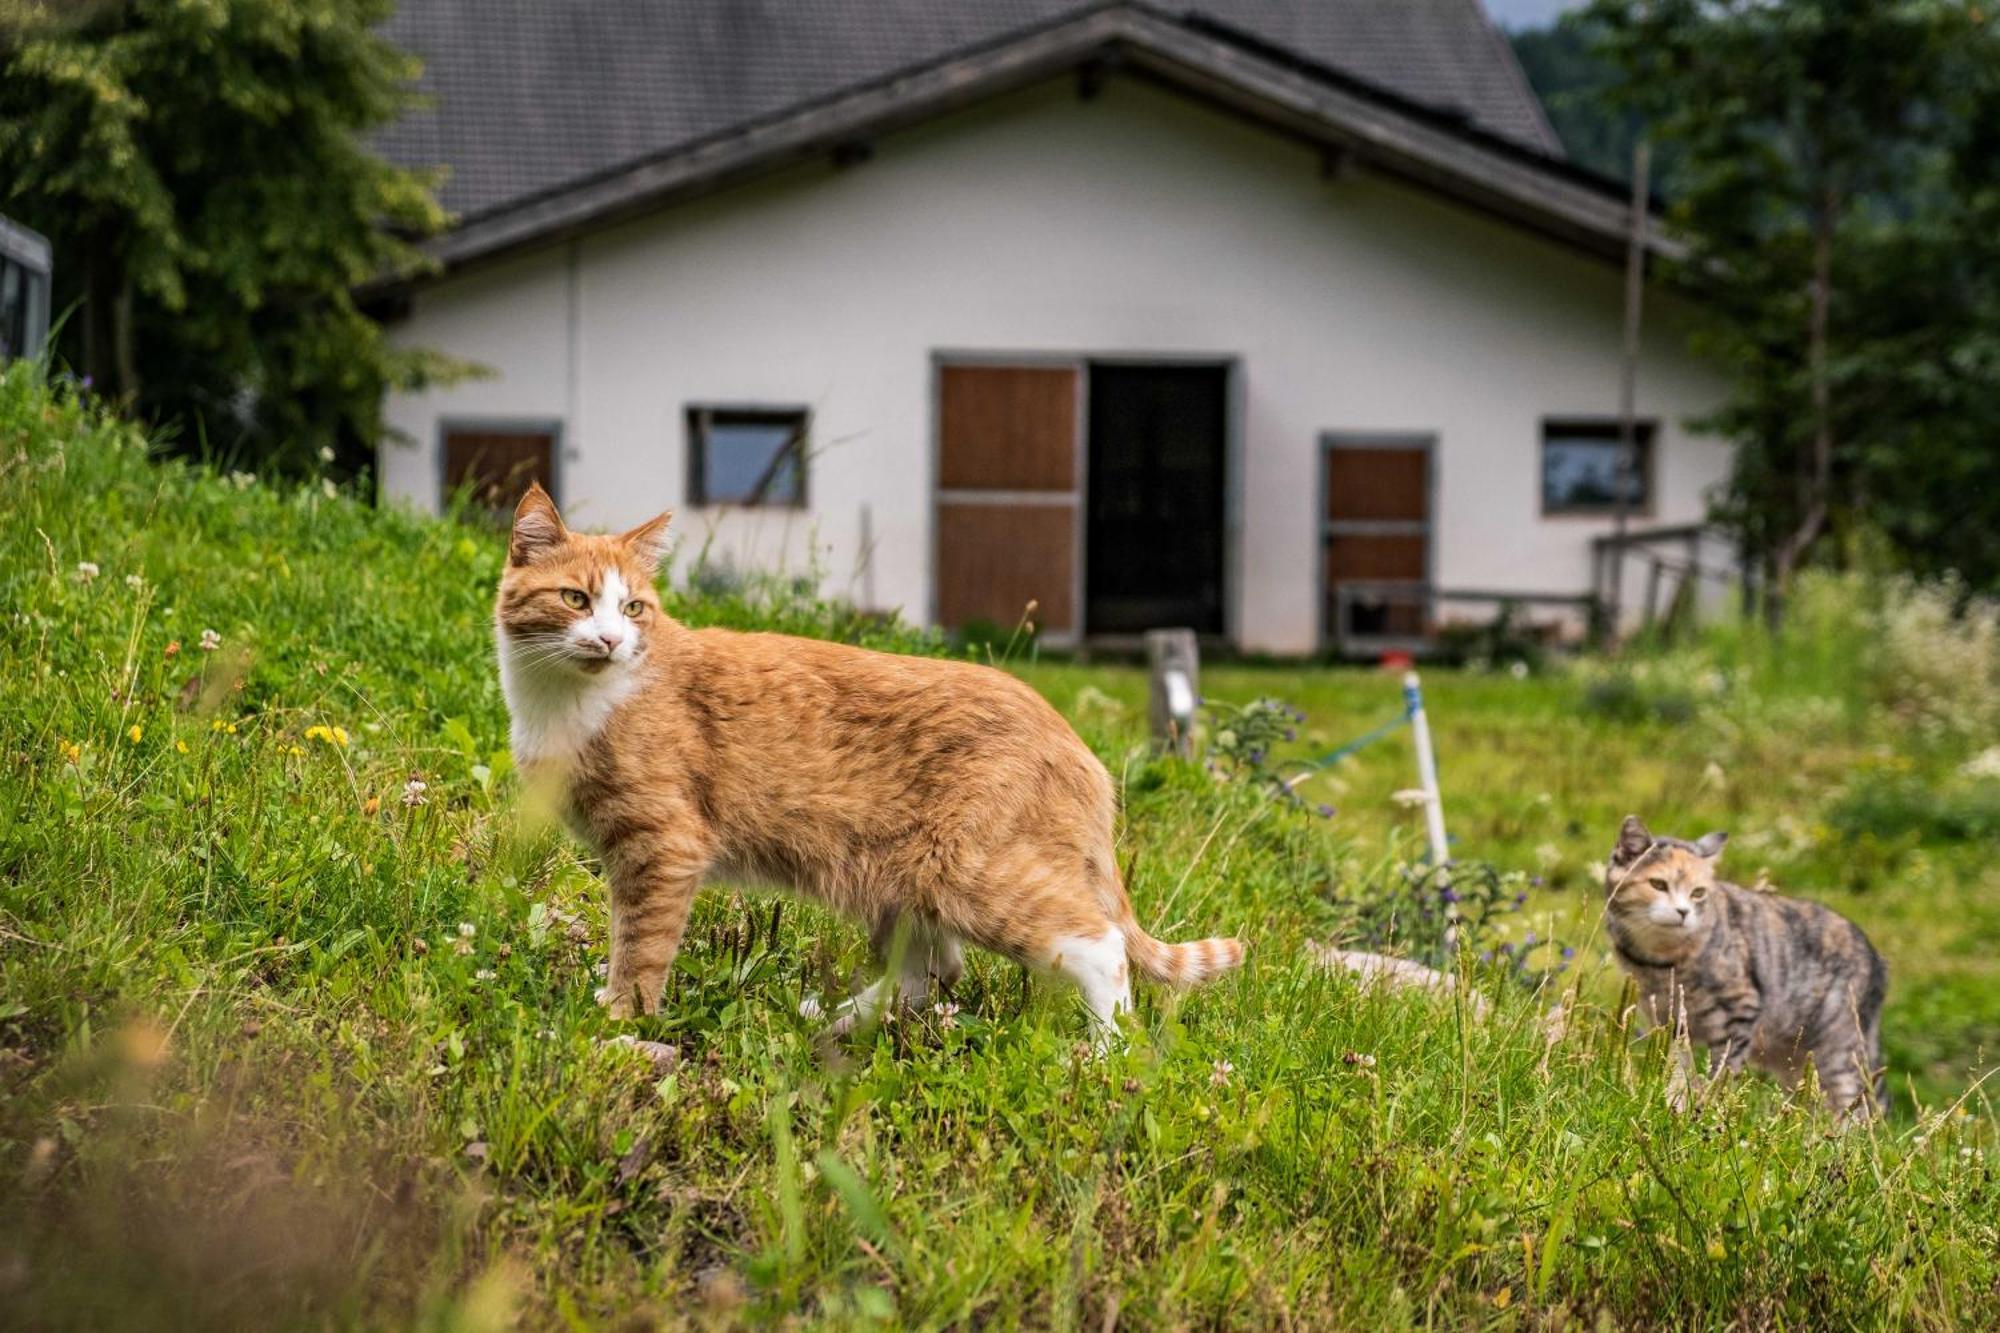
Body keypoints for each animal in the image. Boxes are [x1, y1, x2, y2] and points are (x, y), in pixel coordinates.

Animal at [492, 482, 1240, 1032]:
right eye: (576, 599)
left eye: (634, 608)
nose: (611, 640)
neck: (568, 699)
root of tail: (1070, 735)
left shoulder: (661, 848)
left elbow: (640, 946)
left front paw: (620, 1021)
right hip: (903, 887)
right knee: (930, 972)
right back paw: (832, 1023)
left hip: (969, 874)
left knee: (1099, 947)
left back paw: (1106, 1054)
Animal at [1600, 816, 1880, 1112]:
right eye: (1658, 884)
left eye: (1698, 893)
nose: (1683, 912)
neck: (1661, 961)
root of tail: (1877, 959)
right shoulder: (1671, 1019)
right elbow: (1679, 1066)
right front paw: (1676, 1100)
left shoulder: (1738, 1012)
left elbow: (1722, 1071)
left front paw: (1709, 1106)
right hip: (1796, 1062)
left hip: (1840, 1054)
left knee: (1858, 1109)